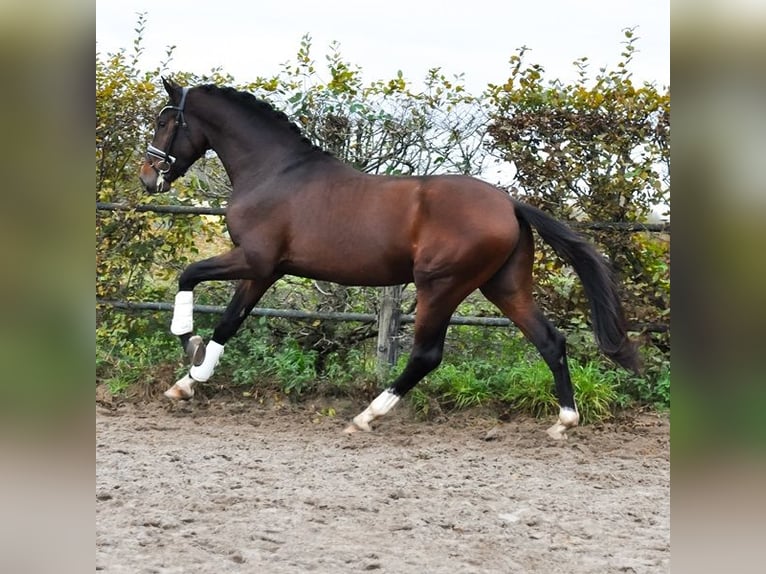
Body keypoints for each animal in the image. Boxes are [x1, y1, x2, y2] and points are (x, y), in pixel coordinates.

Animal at [140, 77, 640, 440]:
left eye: (165, 121)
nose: (148, 177)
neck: (275, 172)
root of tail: (510, 204)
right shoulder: (265, 271)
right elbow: (230, 322)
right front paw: (188, 380)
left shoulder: (255, 260)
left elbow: (189, 276)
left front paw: (188, 342)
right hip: (503, 286)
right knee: (550, 341)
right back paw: (564, 422)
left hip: (440, 285)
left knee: (426, 355)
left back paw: (367, 416)